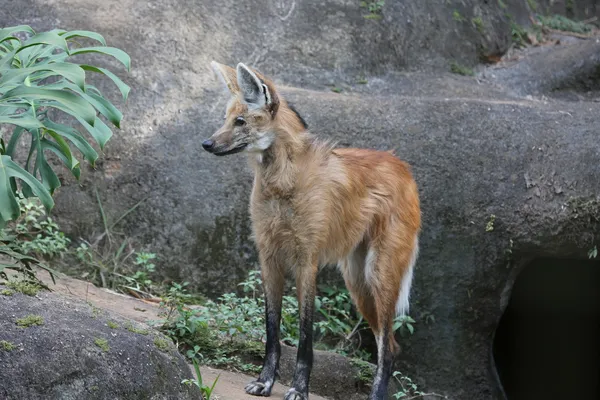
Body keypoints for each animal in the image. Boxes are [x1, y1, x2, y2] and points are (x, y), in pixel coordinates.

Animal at [204, 60, 420, 400]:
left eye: (240, 121)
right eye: (225, 119)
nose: (207, 143)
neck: (281, 181)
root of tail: (402, 166)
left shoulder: (307, 259)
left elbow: (305, 336)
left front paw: (298, 389)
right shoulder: (268, 256)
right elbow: (272, 328)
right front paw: (265, 381)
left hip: (378, 274)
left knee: (388, 345)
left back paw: (376, 395)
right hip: (358, 283)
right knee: (392, 344)